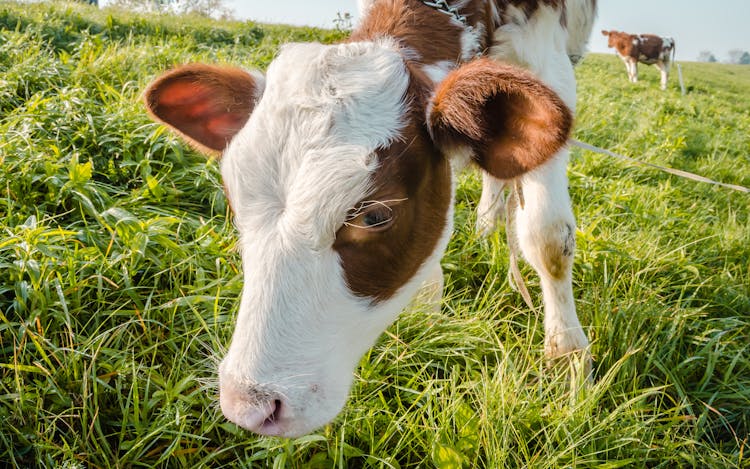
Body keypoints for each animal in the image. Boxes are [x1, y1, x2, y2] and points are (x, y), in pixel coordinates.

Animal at [144, 0, 596, 436]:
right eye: (235, 203)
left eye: (375, 216)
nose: (248, 405)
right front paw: (428, 322)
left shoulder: (549, 60)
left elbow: (547, 237)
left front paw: (568, 358)